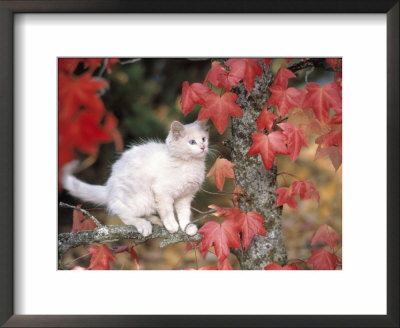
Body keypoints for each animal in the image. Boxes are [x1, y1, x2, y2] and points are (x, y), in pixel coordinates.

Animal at [62, 120, 209, 236]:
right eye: (192, 142)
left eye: (203, 139)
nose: (203, 147)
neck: (190, 164)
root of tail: (110, 188)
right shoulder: (162, 193)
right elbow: (167, 212)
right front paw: (172, 226)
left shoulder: (185, 196)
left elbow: (184, 214)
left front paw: (187, 227)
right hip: (141, 198)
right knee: (122, 213)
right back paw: (144, 224)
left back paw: (155, 220)